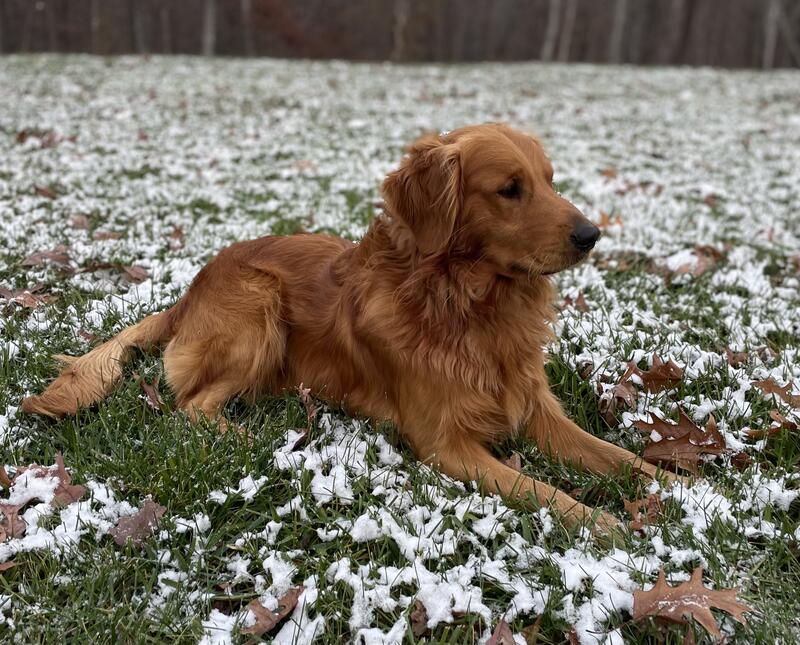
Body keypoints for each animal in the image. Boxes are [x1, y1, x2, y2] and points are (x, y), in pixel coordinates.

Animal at [22, 123, 672, 532]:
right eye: (510, 189)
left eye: (550, 180)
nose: (591, 235)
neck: (470, 306)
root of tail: (189, 293)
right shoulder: (447, 445)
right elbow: (538, 489)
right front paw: (604, 523)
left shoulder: (537, 409)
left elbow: (617, 456)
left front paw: (679, 487)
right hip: (259, 309)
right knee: (193, 405)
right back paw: (248, 437)